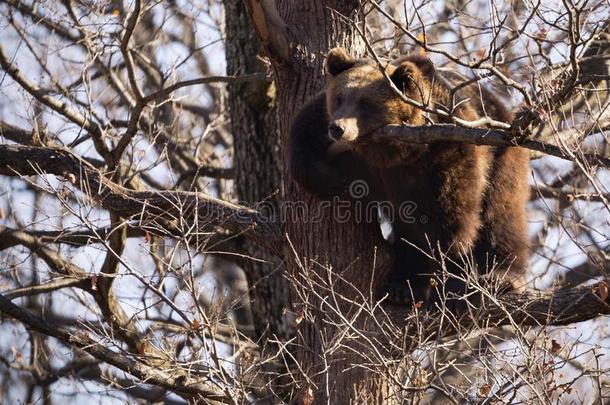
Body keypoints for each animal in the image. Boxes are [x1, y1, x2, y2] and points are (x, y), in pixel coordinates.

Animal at [284, 47, 528, 306]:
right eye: (340, 97)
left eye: (365, 103)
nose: (338, 128)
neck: (393, 153)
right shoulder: (330, 131)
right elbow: (304, 135)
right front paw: (330, 180)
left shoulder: (447, 147)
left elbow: (451, 218)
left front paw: (455, 283)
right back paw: (402, 288)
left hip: (502, 150)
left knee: (500, 213)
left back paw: (501, 276)